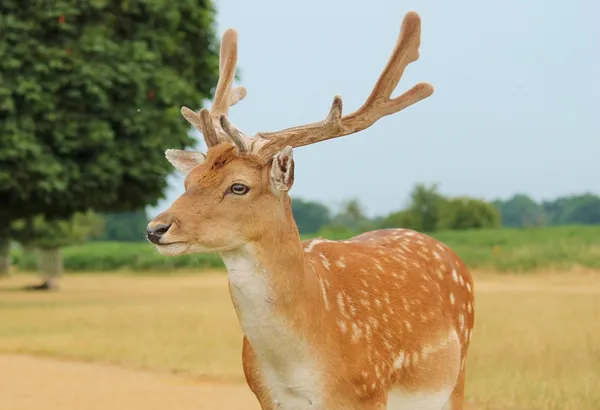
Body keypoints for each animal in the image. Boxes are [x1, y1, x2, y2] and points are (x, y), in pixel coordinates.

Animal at [146, 9, 474, 410]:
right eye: (188, 181)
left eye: (238, 186)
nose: (156, 228)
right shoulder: (265, 396)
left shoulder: (369, 391)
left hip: (457, 376)